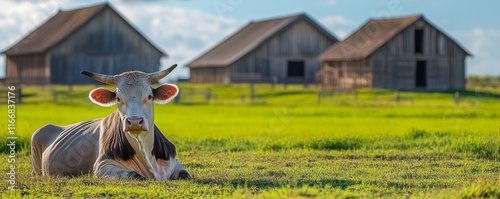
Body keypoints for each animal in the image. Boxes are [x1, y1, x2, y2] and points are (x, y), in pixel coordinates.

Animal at [29, 65, 189, 180]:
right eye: (118, 98)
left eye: (149, 96)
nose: (134, 121)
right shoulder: (102, 166)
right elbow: (134, 175)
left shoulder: (175, 163)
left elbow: (185, 175)